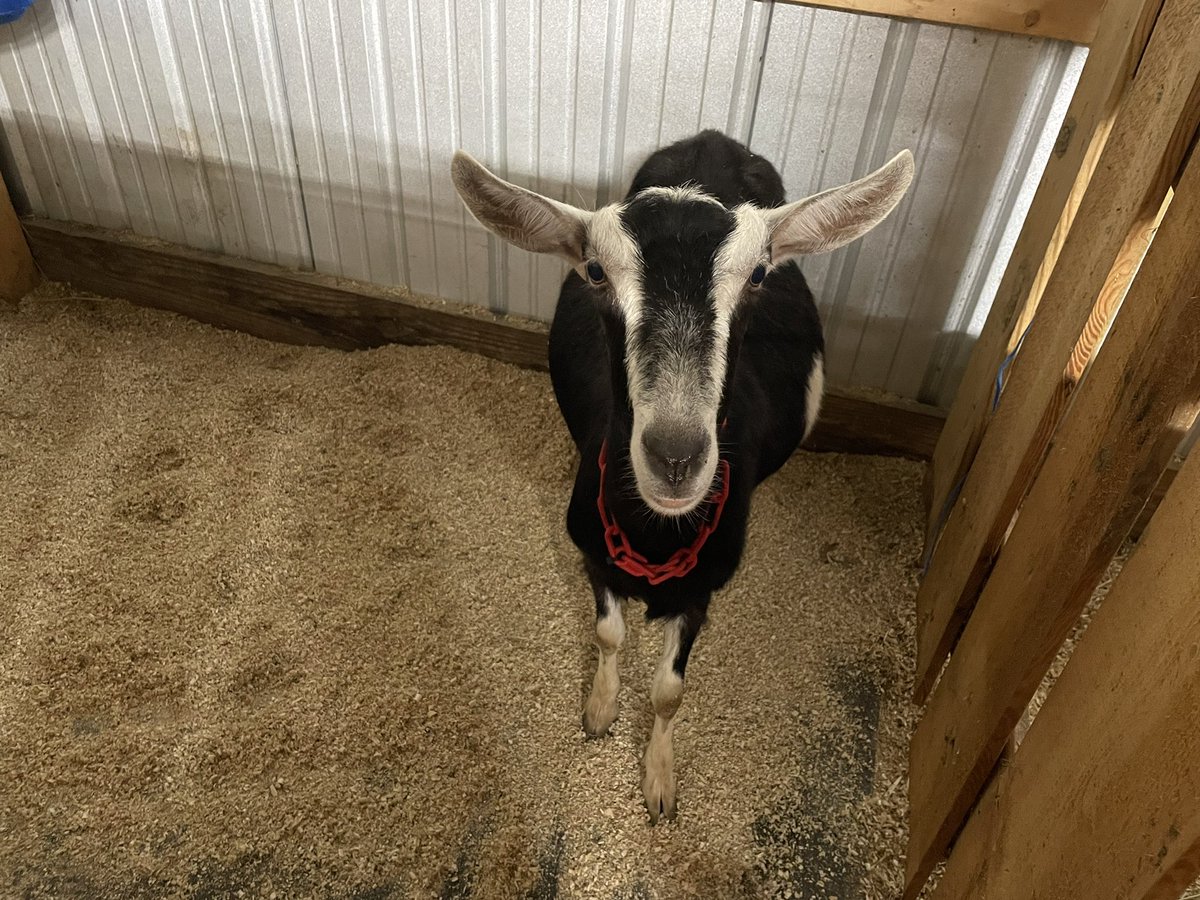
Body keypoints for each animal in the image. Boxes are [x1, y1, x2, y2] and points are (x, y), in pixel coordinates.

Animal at [451, 130, 912, 823]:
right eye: (594, 270)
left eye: (759, 273)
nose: (675, 457)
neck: (656, 536)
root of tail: (714, 141)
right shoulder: (592, 550)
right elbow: (608, 631)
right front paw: (600, 709)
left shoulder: (703, 589)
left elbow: (670, 692)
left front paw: (660, 782)